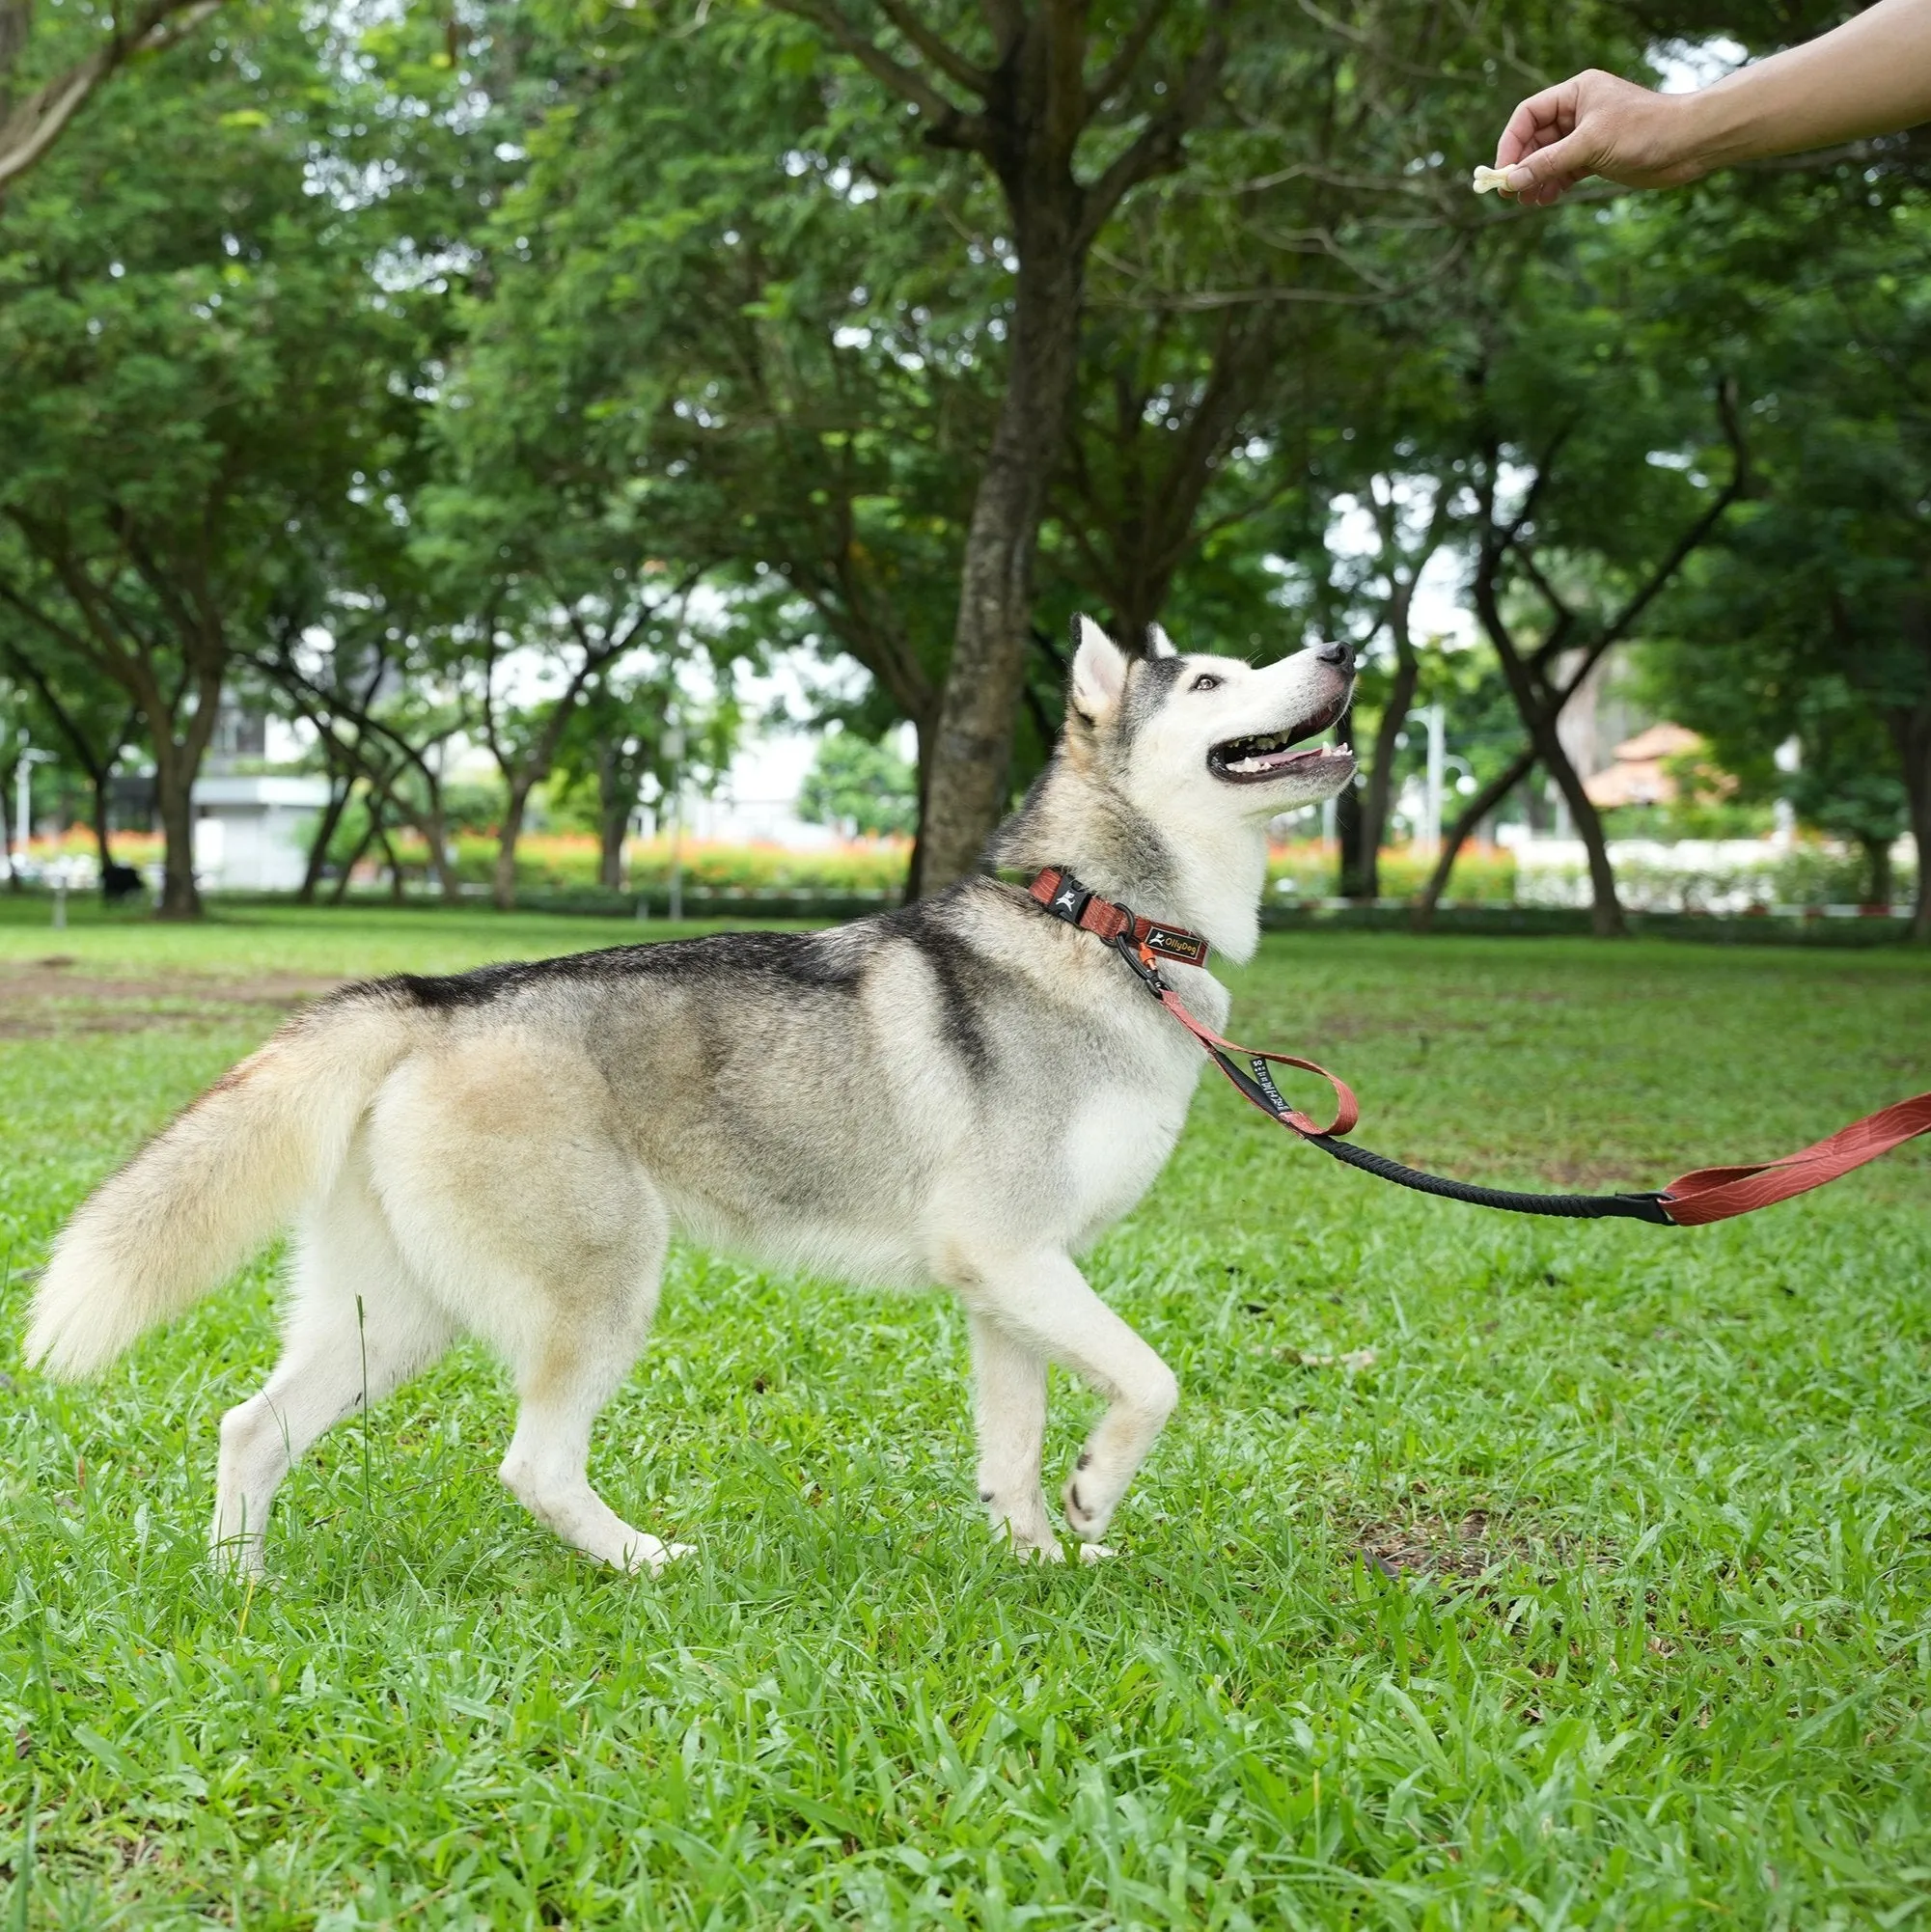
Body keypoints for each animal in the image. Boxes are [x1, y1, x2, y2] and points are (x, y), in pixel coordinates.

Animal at [22, 618, 1351, 1568]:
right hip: (603, 1272)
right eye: (1211, 681)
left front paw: (1037, 1555)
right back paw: (644, 1562)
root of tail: (438, 996)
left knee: (253, 1426)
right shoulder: (1012, 1255)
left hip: (396, 1311)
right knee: (534, 1466)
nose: (1342, 649)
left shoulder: (1011, 1282)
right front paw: (1095, 1492)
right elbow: (1153, 1379)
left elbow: (1014, 1444)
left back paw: (239, 1590)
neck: (1102, 923)